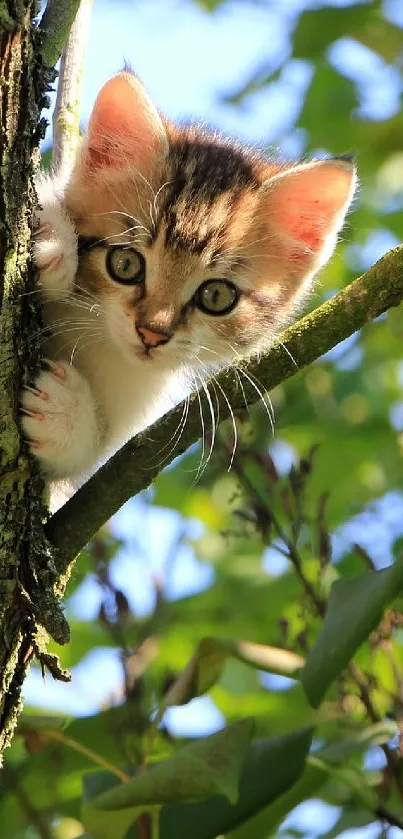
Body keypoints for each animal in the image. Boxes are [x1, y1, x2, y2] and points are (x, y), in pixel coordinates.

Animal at [22, 72, 356, 482]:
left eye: (216, 296)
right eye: (126, 264)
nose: (151, 334)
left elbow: (83, 467)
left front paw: (64, 417)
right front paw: (52, 236)